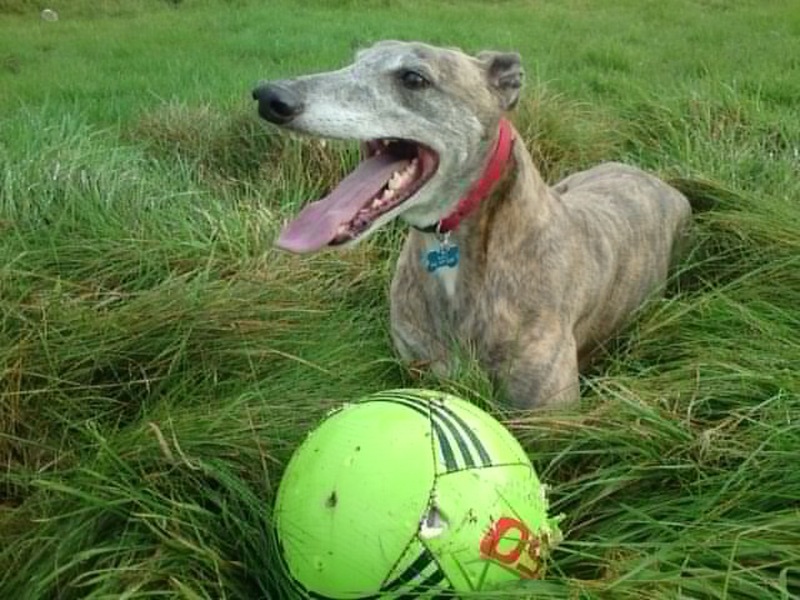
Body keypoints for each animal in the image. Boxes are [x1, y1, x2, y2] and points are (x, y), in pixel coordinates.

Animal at [253, 41, 692, 408]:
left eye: (413, 78)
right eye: (355, 60)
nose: (269, 96)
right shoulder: (413, 366)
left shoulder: (549, 416)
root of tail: (654, 178)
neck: (452, 251)